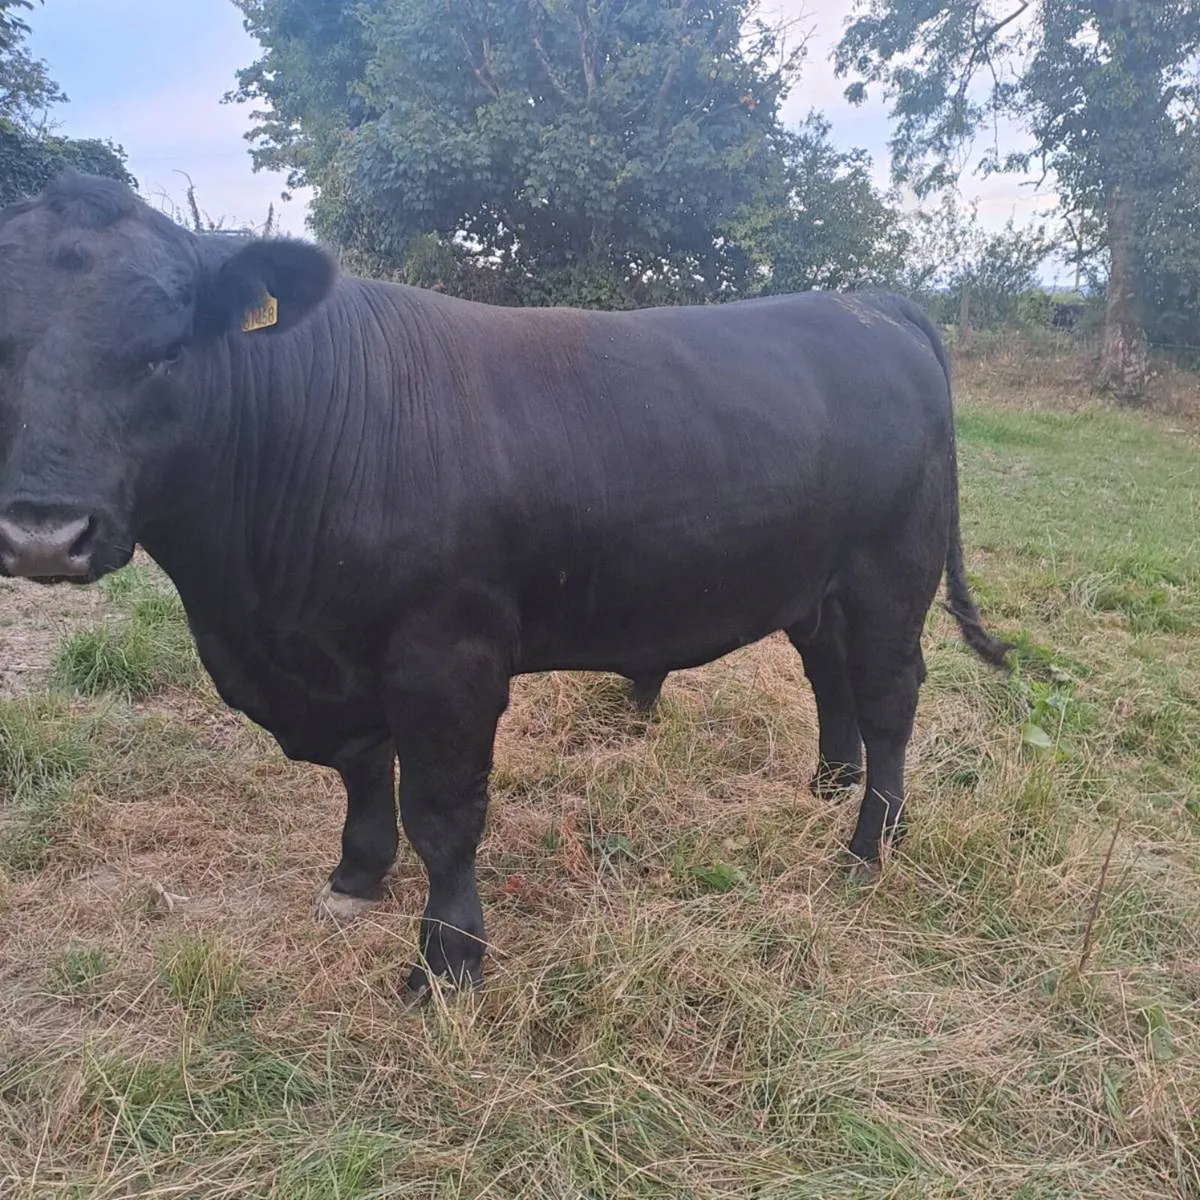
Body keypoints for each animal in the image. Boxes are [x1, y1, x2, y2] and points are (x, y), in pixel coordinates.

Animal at [0, 172, 1010, 997]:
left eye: (167, 349)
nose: (45, 532)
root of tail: (873, 303)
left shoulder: (447, 658)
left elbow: (443, 812)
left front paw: (448, 962)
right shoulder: (338, 663)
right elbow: (362, 773)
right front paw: (355, 878)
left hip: (891, 573)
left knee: (890, 697)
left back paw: (869, 845)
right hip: (814, 581)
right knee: (830, 674)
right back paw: (830, 785)